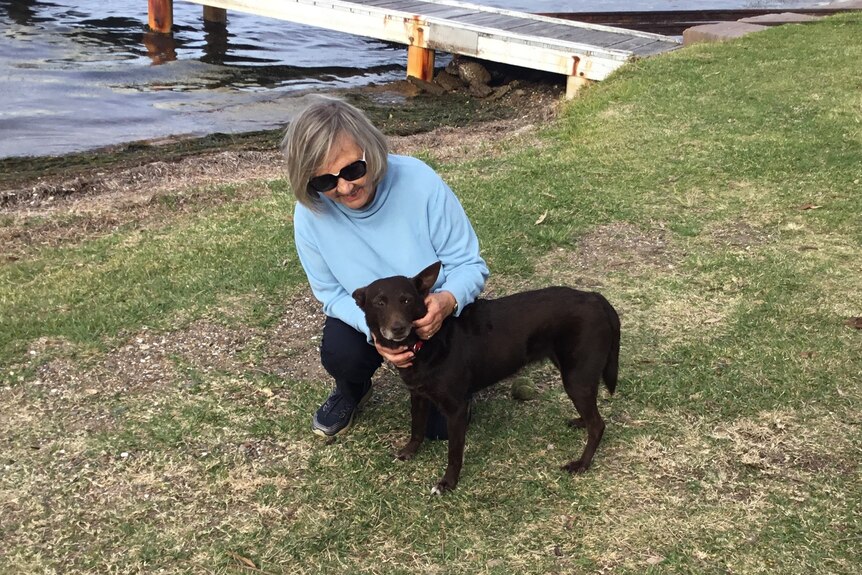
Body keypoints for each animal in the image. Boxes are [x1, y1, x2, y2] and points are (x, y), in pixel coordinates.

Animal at [352, 264, 620, 492]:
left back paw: (582, 464)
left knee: (598, 425)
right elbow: (417, 428)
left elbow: (454, 453)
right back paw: (580, 422)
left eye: (406, 300)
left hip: (576, 378)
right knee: (591, 416)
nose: (397, 328)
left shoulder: (457, 409)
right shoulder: (418, 396)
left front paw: (448, 483)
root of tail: (595, 297)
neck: (426, 343)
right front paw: (409, 452)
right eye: (379, 302)